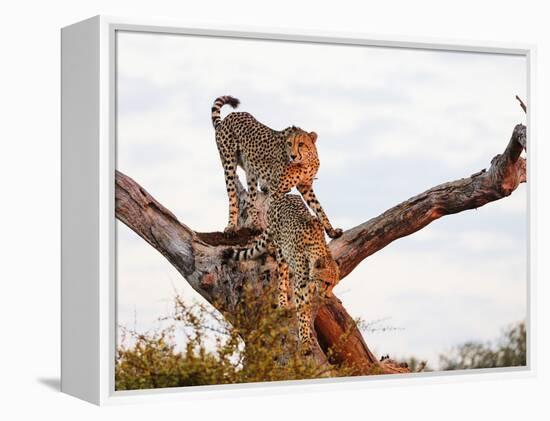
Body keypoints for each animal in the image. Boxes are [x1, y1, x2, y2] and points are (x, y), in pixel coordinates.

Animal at [210, 96, 340, 238]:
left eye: (301, 144)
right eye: (289, 144)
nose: (293, 156)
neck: (304, 162)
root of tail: (230, 116)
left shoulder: (305, 186)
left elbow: (319, 208)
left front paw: (332, 230)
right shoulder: (276, 190)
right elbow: (274, 213)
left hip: (250, 170)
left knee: (250, 200)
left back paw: (256, 224)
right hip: (229, 165)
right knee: (232, 197)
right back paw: (231, 226)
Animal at [224, 194, 340, 354]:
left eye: (335, 285)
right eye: (327, 282)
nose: (328, 296)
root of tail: (286, 195)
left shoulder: (310, 286)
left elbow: (307, 310)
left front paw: (308, 334)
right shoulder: (301, 286)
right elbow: (302, 312)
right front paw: (305, 340)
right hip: (281, 252)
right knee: (281, 278)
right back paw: (283, 302)